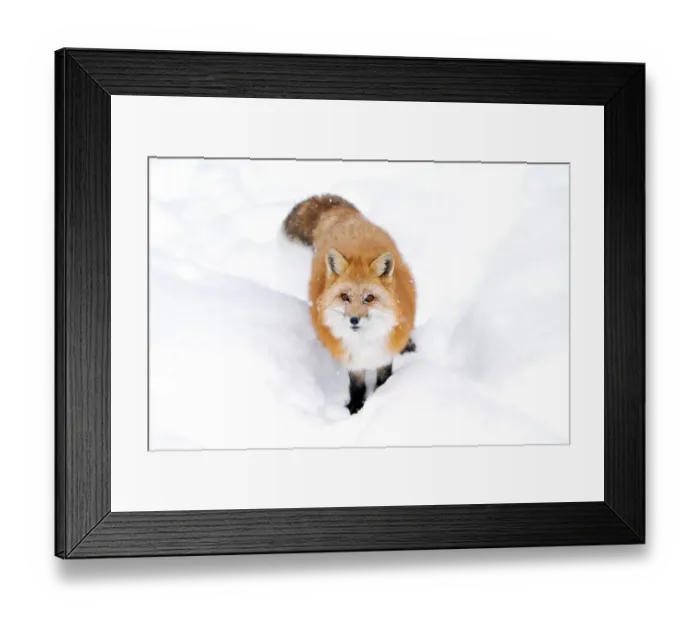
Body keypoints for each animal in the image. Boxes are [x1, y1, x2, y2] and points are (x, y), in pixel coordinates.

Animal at [283, 194, 416, 414]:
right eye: (345, 297)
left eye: (369, 298)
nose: (354, 320)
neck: (365, 343)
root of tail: (345, 217)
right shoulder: (351, 359)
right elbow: (356, 385)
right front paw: (355, 408)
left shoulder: (385, 353)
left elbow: (383, 378)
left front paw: (381, 396)